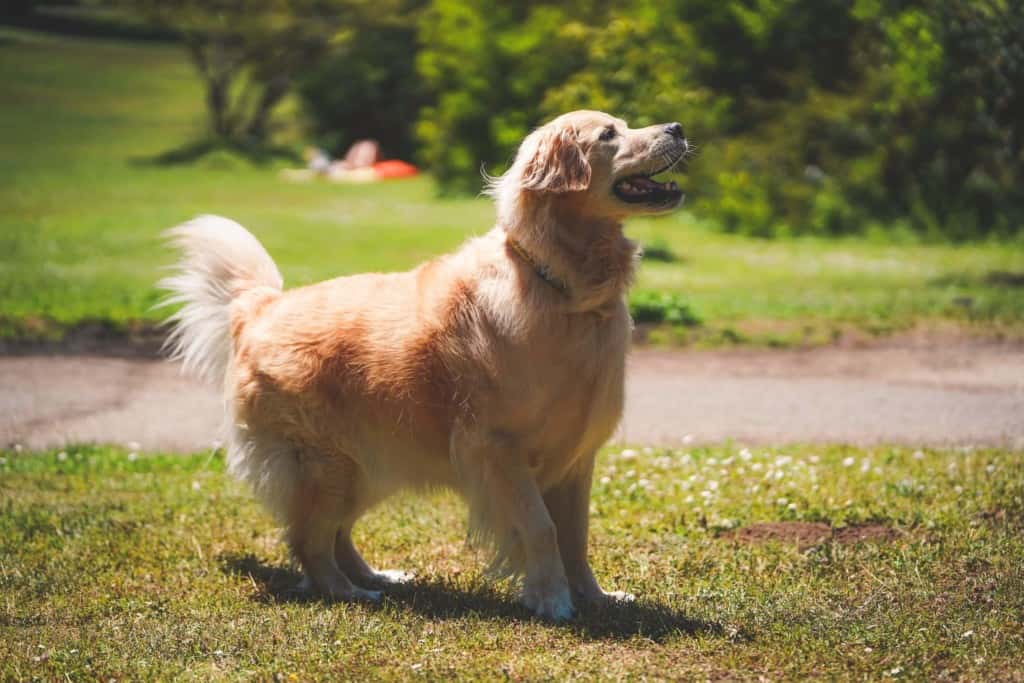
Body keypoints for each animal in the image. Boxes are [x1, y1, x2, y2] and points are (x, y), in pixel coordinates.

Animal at [161, 108, 688, 618]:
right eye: (607, 135)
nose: (678, 128)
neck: (561, 287)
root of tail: (261, 307)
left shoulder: (576, 458)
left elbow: (576, 538)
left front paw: (597, 598)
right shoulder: (497, 449)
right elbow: (542, 529)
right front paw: (553, 600)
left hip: (366, 466)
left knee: (335, 535)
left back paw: (378, 577)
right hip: (326, 465)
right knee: (310, 542)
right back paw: (351, 593)